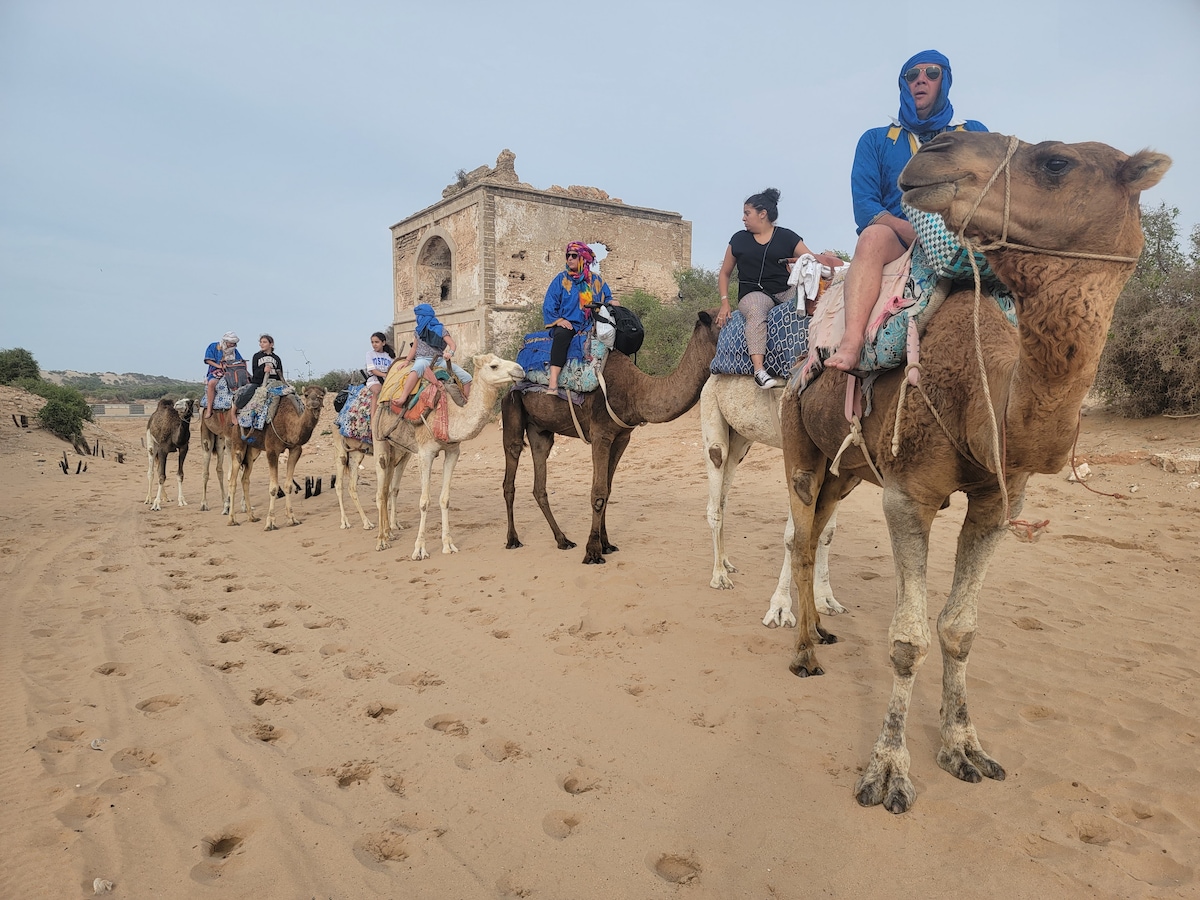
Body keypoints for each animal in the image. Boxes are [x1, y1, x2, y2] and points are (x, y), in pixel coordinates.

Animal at [226, 385, 327, 530]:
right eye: (306, 395)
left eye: (321, 395)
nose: (314, 403)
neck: (288, 423)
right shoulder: (272, 451)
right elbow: (273, 488)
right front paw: (270, 522)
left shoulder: (295, 450)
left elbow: (288, 485)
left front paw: (292, 519)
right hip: (238, 444)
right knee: (232, 480)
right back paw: (231, 520)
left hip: (252, 451)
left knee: (245, 479)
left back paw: (252, 517)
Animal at [373, 353, 524, 558]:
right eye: (494, 366)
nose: (520, 370)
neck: (450, 415)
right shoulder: (425, 452)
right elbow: (424, 501)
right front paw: (419, 549)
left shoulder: (453, 451)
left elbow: (445, 499)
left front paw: (448, 545)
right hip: (379, 438)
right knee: (380, 491)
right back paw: (381, 540)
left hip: (399, 449)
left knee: (389, 486)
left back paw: (390, 532)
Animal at [503, 310, 721, 564]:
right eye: (723, 322)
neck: (636, 391)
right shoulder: (601, 434)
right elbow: (598, 493)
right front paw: (592, 552)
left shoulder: (621, 438)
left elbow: (607, 490)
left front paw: (606, 544)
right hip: (512, 409)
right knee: (510, 475)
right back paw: (513, 539)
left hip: (540, 430)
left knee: (540, 480)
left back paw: (562, 540)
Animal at [700, 375, 842, 626]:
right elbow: (795, 536)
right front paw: (780, 609)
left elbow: (827, 532)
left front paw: (826, 600)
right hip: (712, 413)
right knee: (715, 495)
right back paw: (719, 577)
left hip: (741, 440)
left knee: (723, 500)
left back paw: (726, 562)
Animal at [780, 131, 1170, 814]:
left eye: (1056, 162)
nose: (934, 146)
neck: (986, 389)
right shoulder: (908, 495)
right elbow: (908, 639)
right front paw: (888, 771)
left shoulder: (999, 501)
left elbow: (959, 630)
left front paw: (965, 748)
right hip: (797, 437)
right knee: (802, 538)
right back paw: (803, 653)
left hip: (845, 467)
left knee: (821, 519)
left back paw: (821, 632)